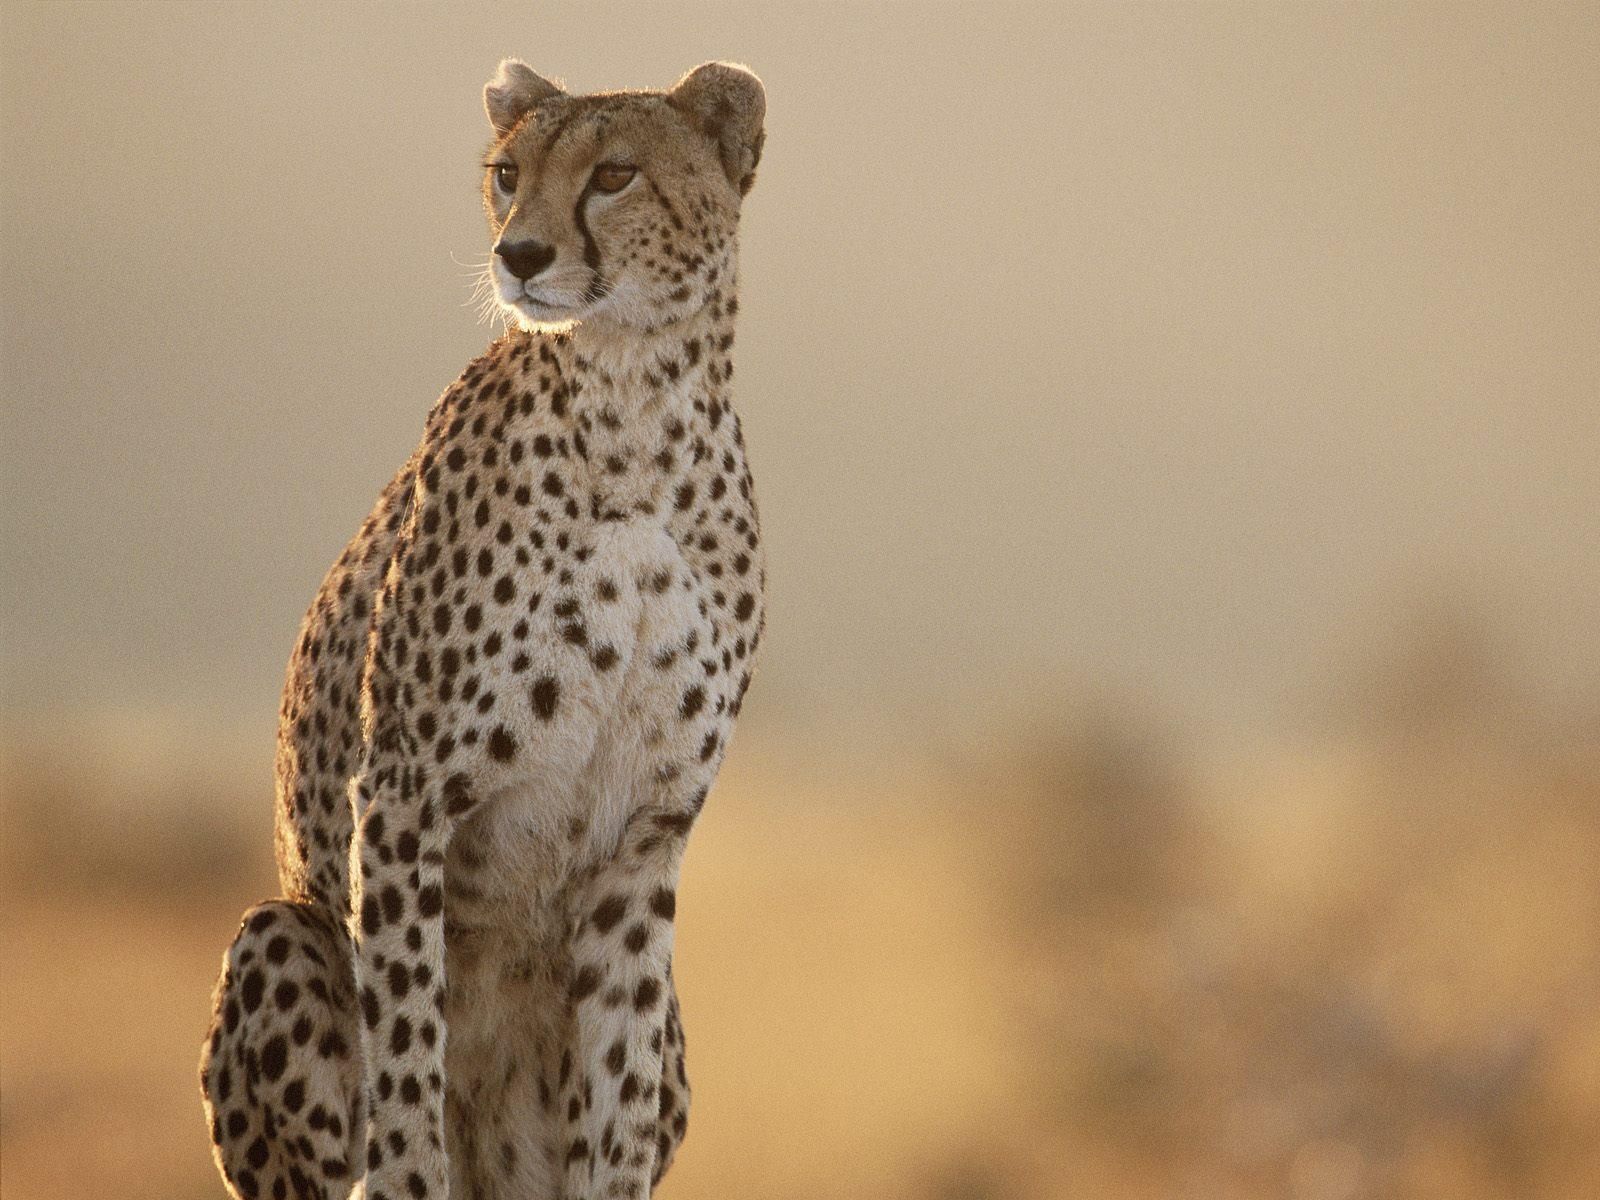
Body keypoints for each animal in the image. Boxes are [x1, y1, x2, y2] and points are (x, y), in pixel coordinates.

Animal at [199, 58, 767, 1200]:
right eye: (508, 173)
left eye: (615, 174)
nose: (520, 253)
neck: (639, 415)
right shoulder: (404, 792)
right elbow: (408, 1047)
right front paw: (415, 1163)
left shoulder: (646, 840)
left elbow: (618, 1084)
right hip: (279, 931)